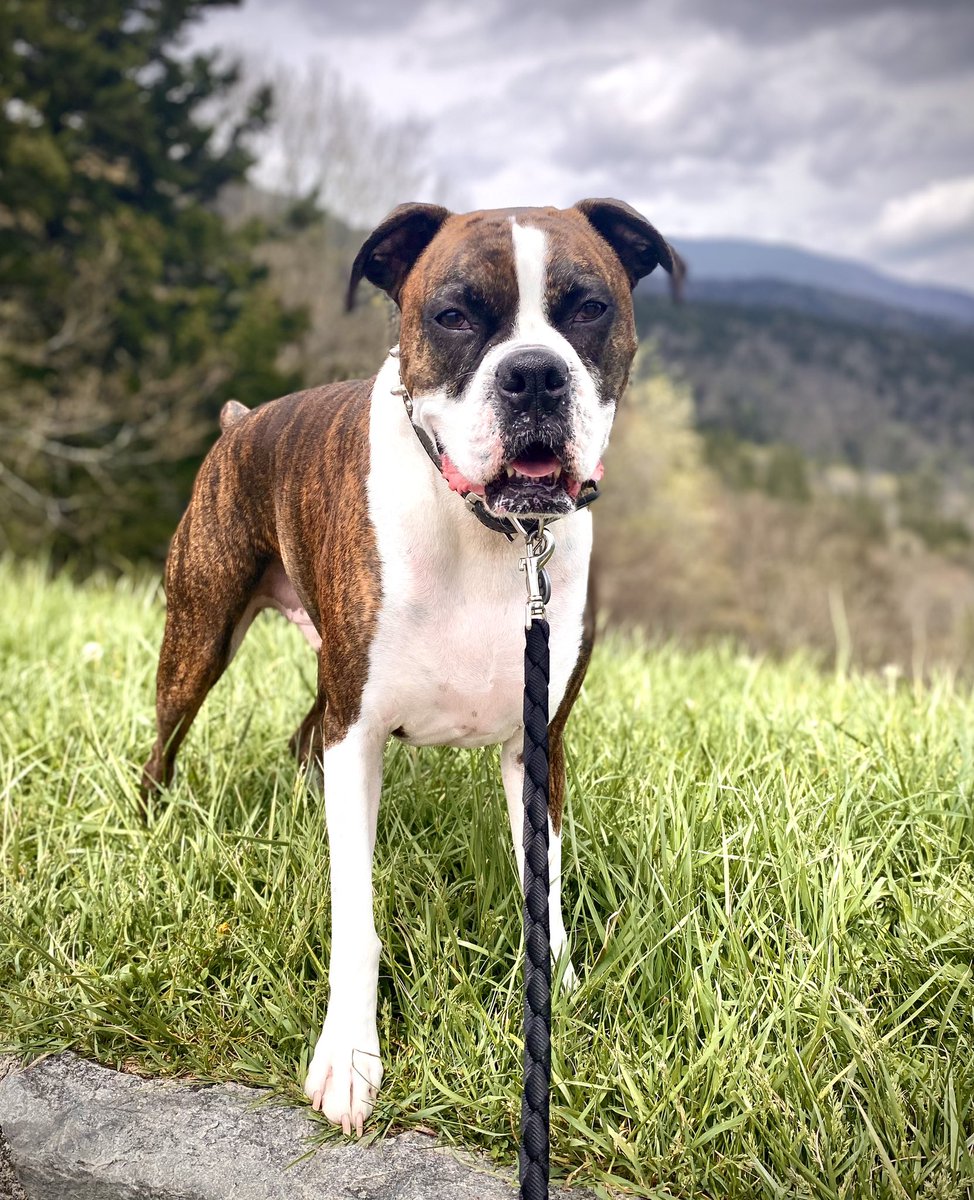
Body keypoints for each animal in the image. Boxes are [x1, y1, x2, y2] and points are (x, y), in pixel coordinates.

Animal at [140, 199, 681, 1132]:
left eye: (588, 308)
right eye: (454, 314)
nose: (534, 376)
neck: (493, 534)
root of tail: (242, 421)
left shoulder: (536, 745)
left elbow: (544, 895)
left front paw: (557, 1004)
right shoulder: (358, 732)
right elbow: (354, 913)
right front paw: (351, 1059)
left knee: (302, 738)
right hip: (201, 634)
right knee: (165, 743)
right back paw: (151, 825)